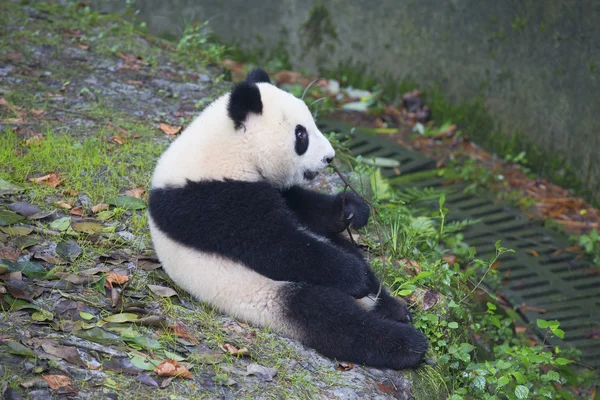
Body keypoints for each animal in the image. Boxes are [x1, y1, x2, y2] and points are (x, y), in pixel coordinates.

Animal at [146, 67, 426, 370]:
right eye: (301, 134)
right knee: (326, 315)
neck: (229, 150)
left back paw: (391, 307)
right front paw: (353, 276)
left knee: (346, 258)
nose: (329, 157)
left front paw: (352, 210)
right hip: (260, 295)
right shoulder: (209, 200)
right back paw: (406, 343)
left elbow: (302, 207)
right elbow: (275, 245)